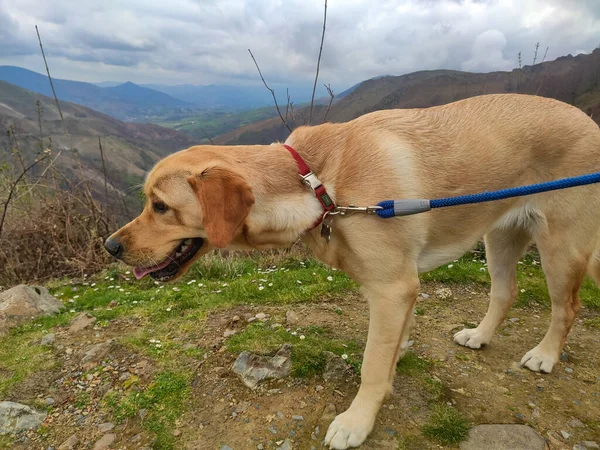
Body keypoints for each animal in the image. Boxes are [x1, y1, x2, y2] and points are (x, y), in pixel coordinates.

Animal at [104, 93, 600, 448]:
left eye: (160, 206)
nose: (110, 247)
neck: (319, 183)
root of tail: (588, 120)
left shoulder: (392, 288)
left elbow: (371, 366)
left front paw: (358, 421)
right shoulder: (399, 290)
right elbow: (392, 345)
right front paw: (399, 352)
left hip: (560, 248)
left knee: (567, 308)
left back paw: (545, 356)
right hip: (498, 237)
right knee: (505, 292)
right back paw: (480, 335)